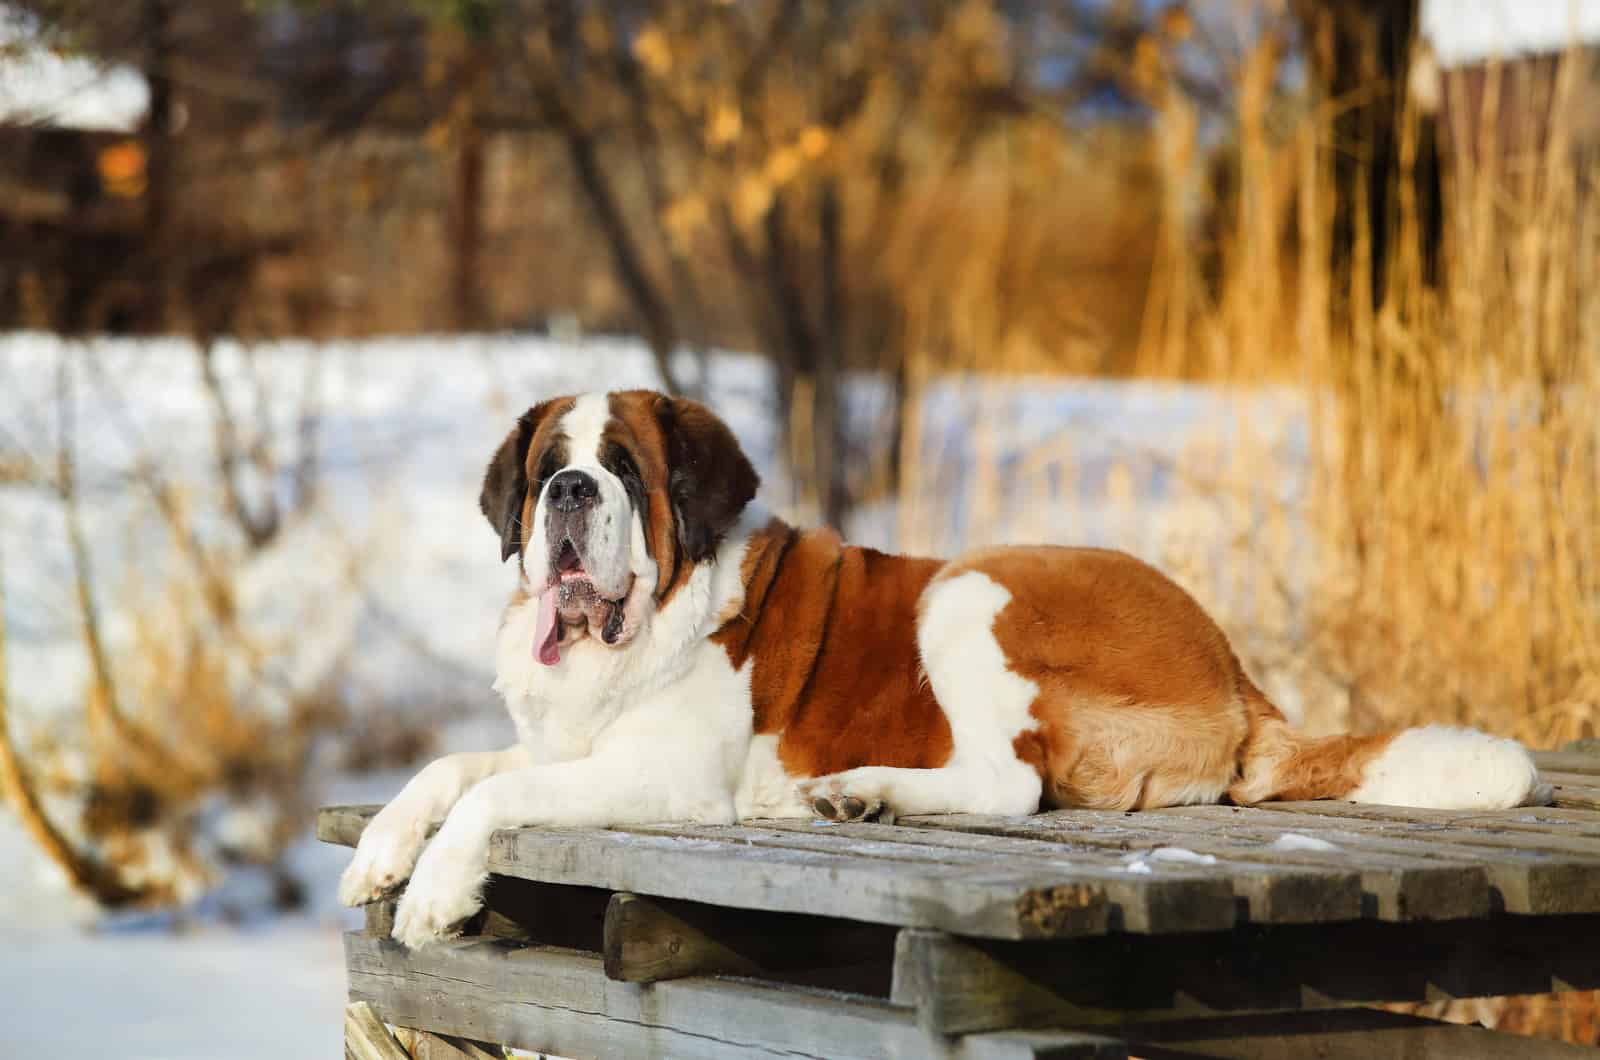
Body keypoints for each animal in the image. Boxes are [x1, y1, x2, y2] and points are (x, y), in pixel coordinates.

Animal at [337, 392, 1548, 954]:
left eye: (626, 470)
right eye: (548, 467)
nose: (570, 492)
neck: (639, 630)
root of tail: (1232, 663)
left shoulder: (665, 774)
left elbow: (493, 794)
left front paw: (436, 893)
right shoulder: (560, 739)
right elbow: (455, 767)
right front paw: (382, 850)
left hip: (966, 589)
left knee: (1006, 784)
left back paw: (857, 791)